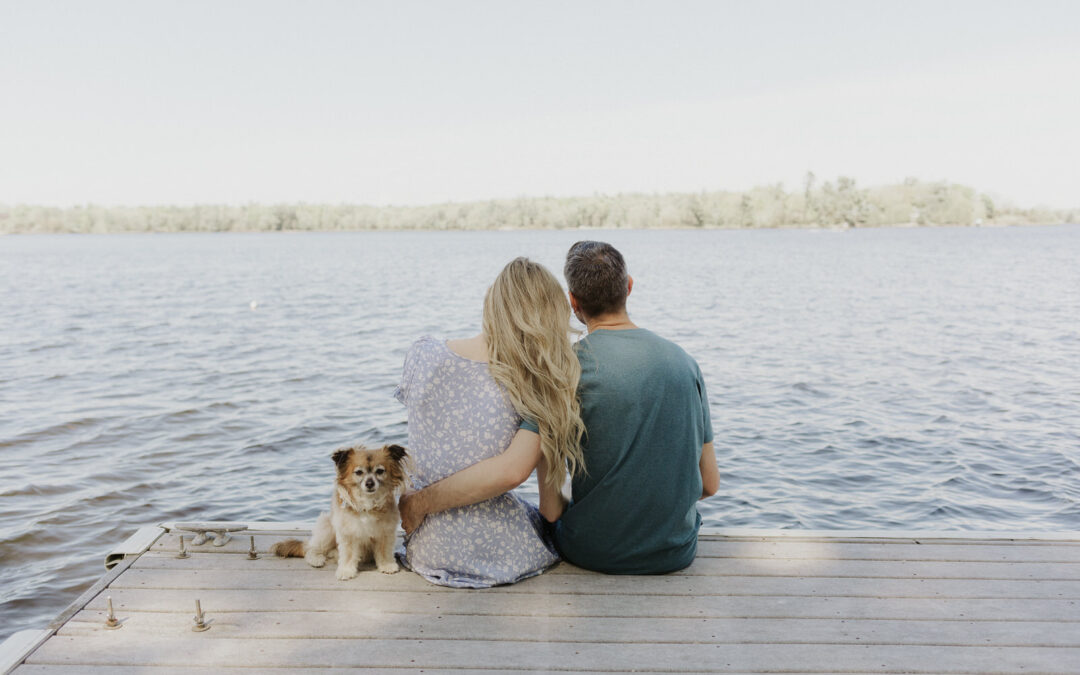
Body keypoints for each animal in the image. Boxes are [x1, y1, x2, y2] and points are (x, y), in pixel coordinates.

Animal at [270, 442, 408, 578]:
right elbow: (348, 554)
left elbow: (384, 551)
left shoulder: (385, 532)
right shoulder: (348, 532)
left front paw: (387, 565)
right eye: (359, 472)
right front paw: (346, 570)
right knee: (311, 549)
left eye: (380, 471)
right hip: (326, 527)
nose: (369, 483)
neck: (367, 503)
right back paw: (317, 559)